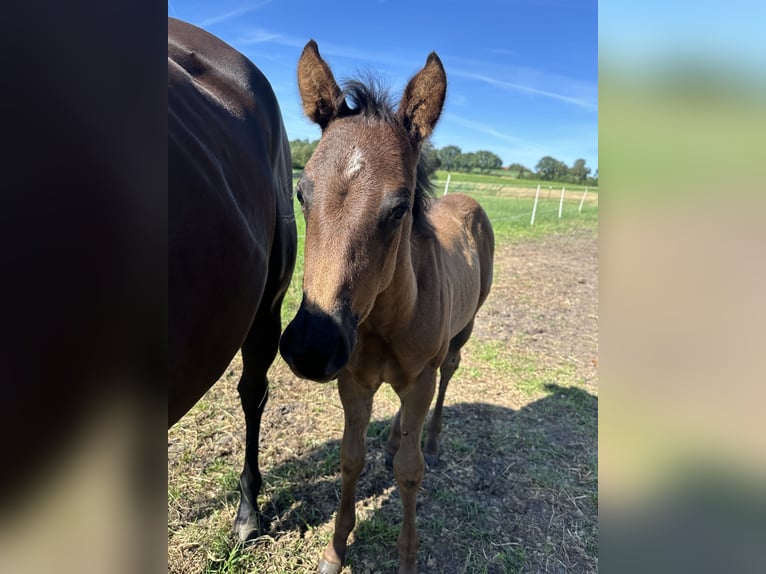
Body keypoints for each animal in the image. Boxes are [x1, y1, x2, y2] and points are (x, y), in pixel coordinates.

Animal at [279, 41, 495, 574]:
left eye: (399, 208)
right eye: (300, 193)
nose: (312, 346)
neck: (382, 321)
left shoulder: (419, 380)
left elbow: (409, 471)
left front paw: (408, 557)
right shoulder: (353, 381)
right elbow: (350, 458)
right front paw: (335, 551)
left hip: (461, 334)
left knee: (448, 376)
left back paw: (432, 440)